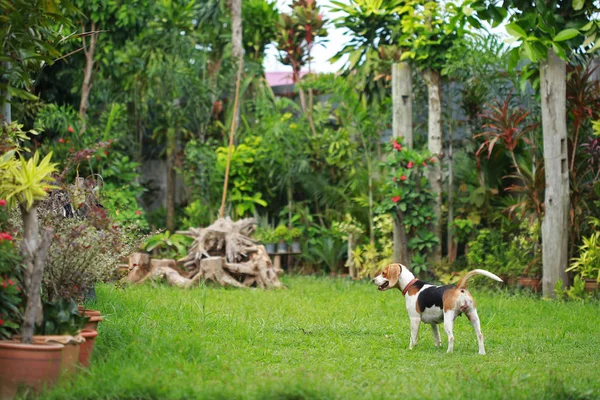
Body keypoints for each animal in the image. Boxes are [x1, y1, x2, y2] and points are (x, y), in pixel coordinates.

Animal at [372, 264, 504, 354]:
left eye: (383, 273)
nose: (373, 280)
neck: (410, 285)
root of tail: (459, 287)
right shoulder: (433, 323)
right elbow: (437, 338)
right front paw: (437, 348)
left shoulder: (414, 319)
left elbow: (413, 337)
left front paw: (410, 349)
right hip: (473, 316)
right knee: (480, 335)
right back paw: (481, 353)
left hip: (448, 319)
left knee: (451, 337)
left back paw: (449, 353)